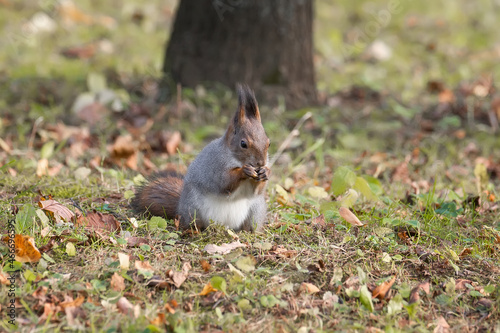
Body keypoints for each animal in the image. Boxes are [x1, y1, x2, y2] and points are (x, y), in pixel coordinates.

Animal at [130, 85, 270, 231]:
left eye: (268, 143)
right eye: (243, 144)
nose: (261, 163)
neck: (236, 159)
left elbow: (255, 192)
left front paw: (265, 172)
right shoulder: (215, 166)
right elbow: (223, 182)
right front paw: (244, 171)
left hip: (256, 210)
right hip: (193, 207)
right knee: (194, 223)